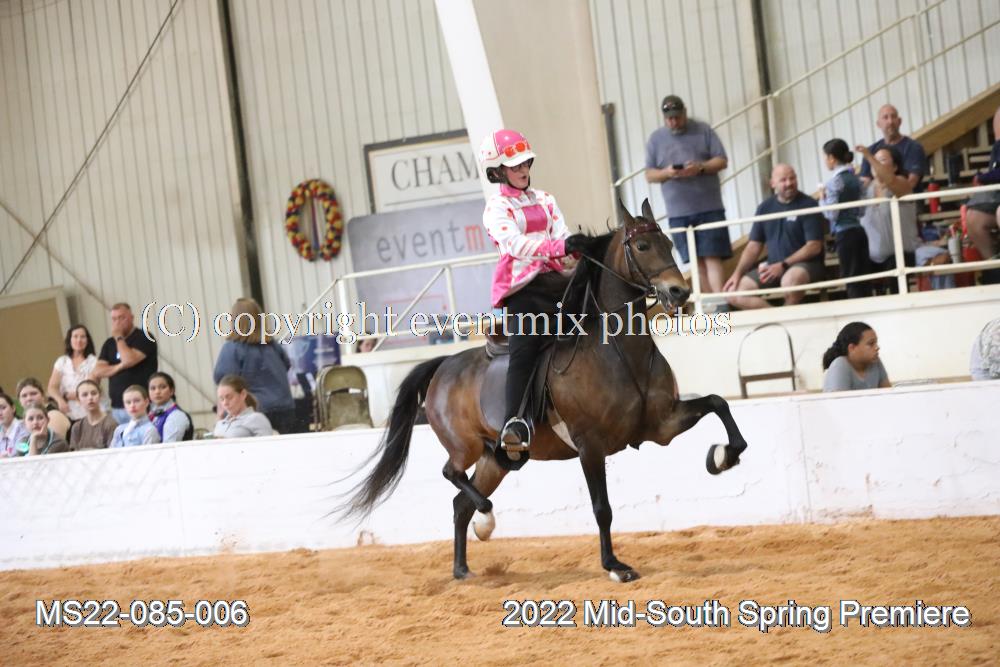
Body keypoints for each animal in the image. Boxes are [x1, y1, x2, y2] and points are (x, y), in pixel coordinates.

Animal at [341, 199, 749, 582]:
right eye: (643, 245)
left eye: (669, 243)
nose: (679, 291)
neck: (617, 351)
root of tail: (442, 365)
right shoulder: (590, 445)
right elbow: (602, 508)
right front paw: (615, 566)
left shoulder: (661, 425)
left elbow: (719, 403)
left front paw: (723, 456)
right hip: (465, 446)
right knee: (452, 475)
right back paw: (485, 521)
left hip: (495, 460)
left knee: (460, 503)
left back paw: (463, 567)